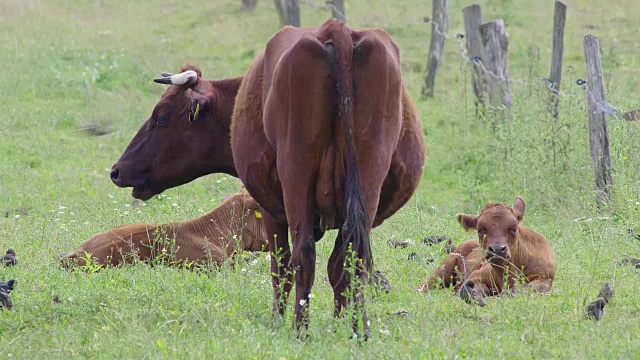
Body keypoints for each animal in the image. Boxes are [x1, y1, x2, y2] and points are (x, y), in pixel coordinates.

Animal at [230, 20, 424, 338]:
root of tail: (336, 29)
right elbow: (338, 265)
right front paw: (339, 321)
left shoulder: (272, 210)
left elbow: (281, 265)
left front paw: (277, 320)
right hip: (370, 169)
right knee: (354, 254)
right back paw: (359, 330)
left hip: (295, 171)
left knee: (302, 253)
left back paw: (301, 331)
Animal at [424, 195, 556, 302]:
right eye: (480, 230)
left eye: (513, 229)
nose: (497, 249)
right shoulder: (476, 276)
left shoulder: (545, 278)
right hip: (439, 273)